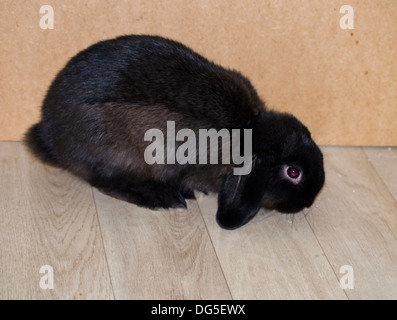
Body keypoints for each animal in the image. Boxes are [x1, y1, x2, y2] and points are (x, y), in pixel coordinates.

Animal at [24, 35, 324, 229]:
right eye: (293, 172)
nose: (310, 201)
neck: (250, 130)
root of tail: (49, 135)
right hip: (120, 154)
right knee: (107, 183)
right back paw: (162, 197)